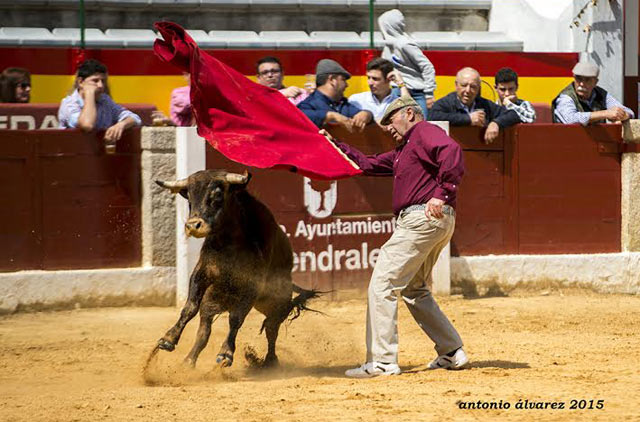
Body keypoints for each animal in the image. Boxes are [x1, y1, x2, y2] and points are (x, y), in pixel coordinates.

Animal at [153, 170, 318, 368]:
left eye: (217, 194)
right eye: (189, 197)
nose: (193, 226)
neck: (228, 242)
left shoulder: (251, 285)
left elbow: (236, 319)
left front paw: (225, 354)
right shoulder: (202, 273)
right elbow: (189, 308)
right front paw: (168, 339)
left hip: (276, 303)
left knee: (271, 328)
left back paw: (270, 361)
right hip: (213, 302)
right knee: (204, 331)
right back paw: (189, 361)